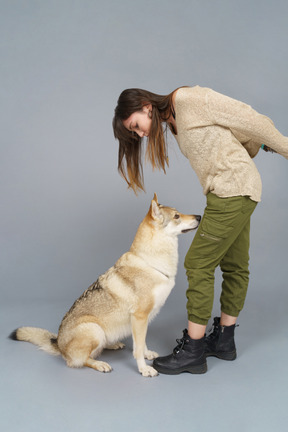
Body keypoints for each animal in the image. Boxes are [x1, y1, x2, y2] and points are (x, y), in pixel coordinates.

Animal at [9, 194, 200, 376]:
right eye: (177, 216)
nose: (199, 216)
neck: (150, 262)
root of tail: (59, 345)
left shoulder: (144, 319)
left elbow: (142, 343)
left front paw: (147, 356)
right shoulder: (140, 317)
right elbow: (137, 349)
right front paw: (144, 369)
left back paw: (113, 344)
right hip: (95, 330)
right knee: (80, 361)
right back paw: (100, 364)